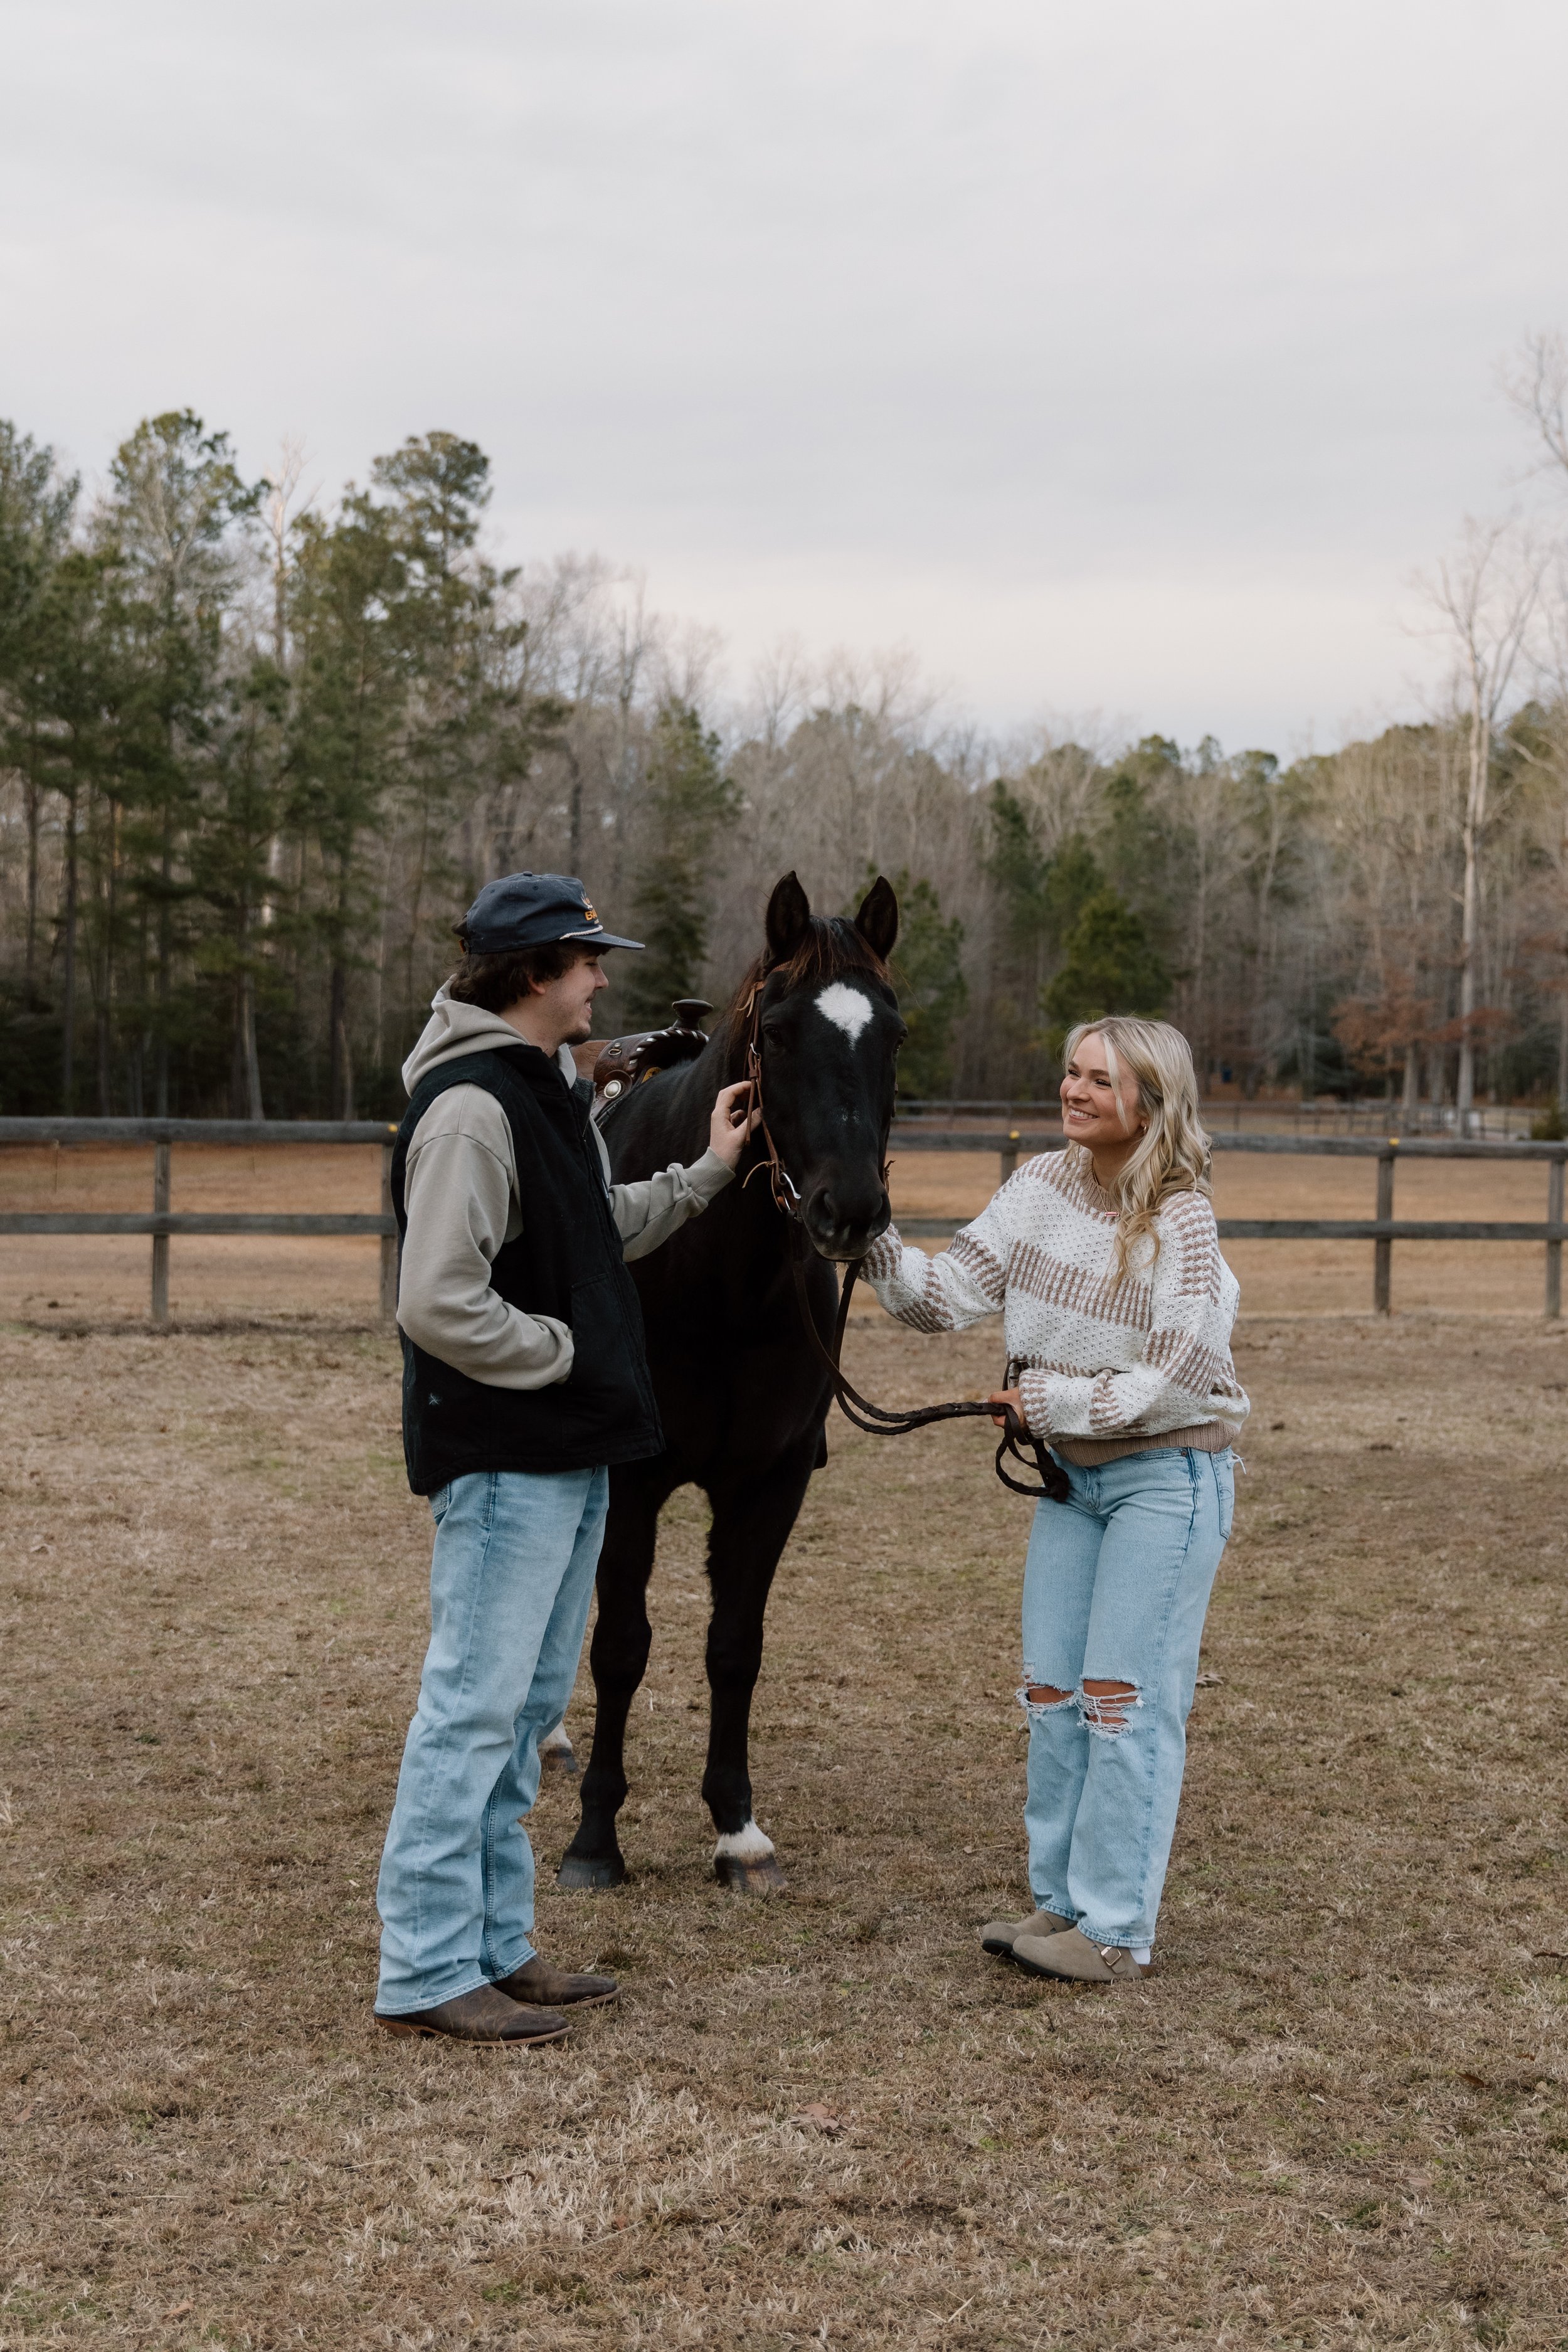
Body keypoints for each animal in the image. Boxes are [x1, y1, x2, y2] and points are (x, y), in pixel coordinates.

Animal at [554, 870, 904, 1893]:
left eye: (894, 1033)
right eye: (778, 1032)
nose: (850, 1208)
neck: (718, 1277)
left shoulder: (769, 1483)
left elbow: (735, 1648)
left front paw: (737, 1830)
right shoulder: (629, 1483)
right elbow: (621, 1648)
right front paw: (596, 1837)